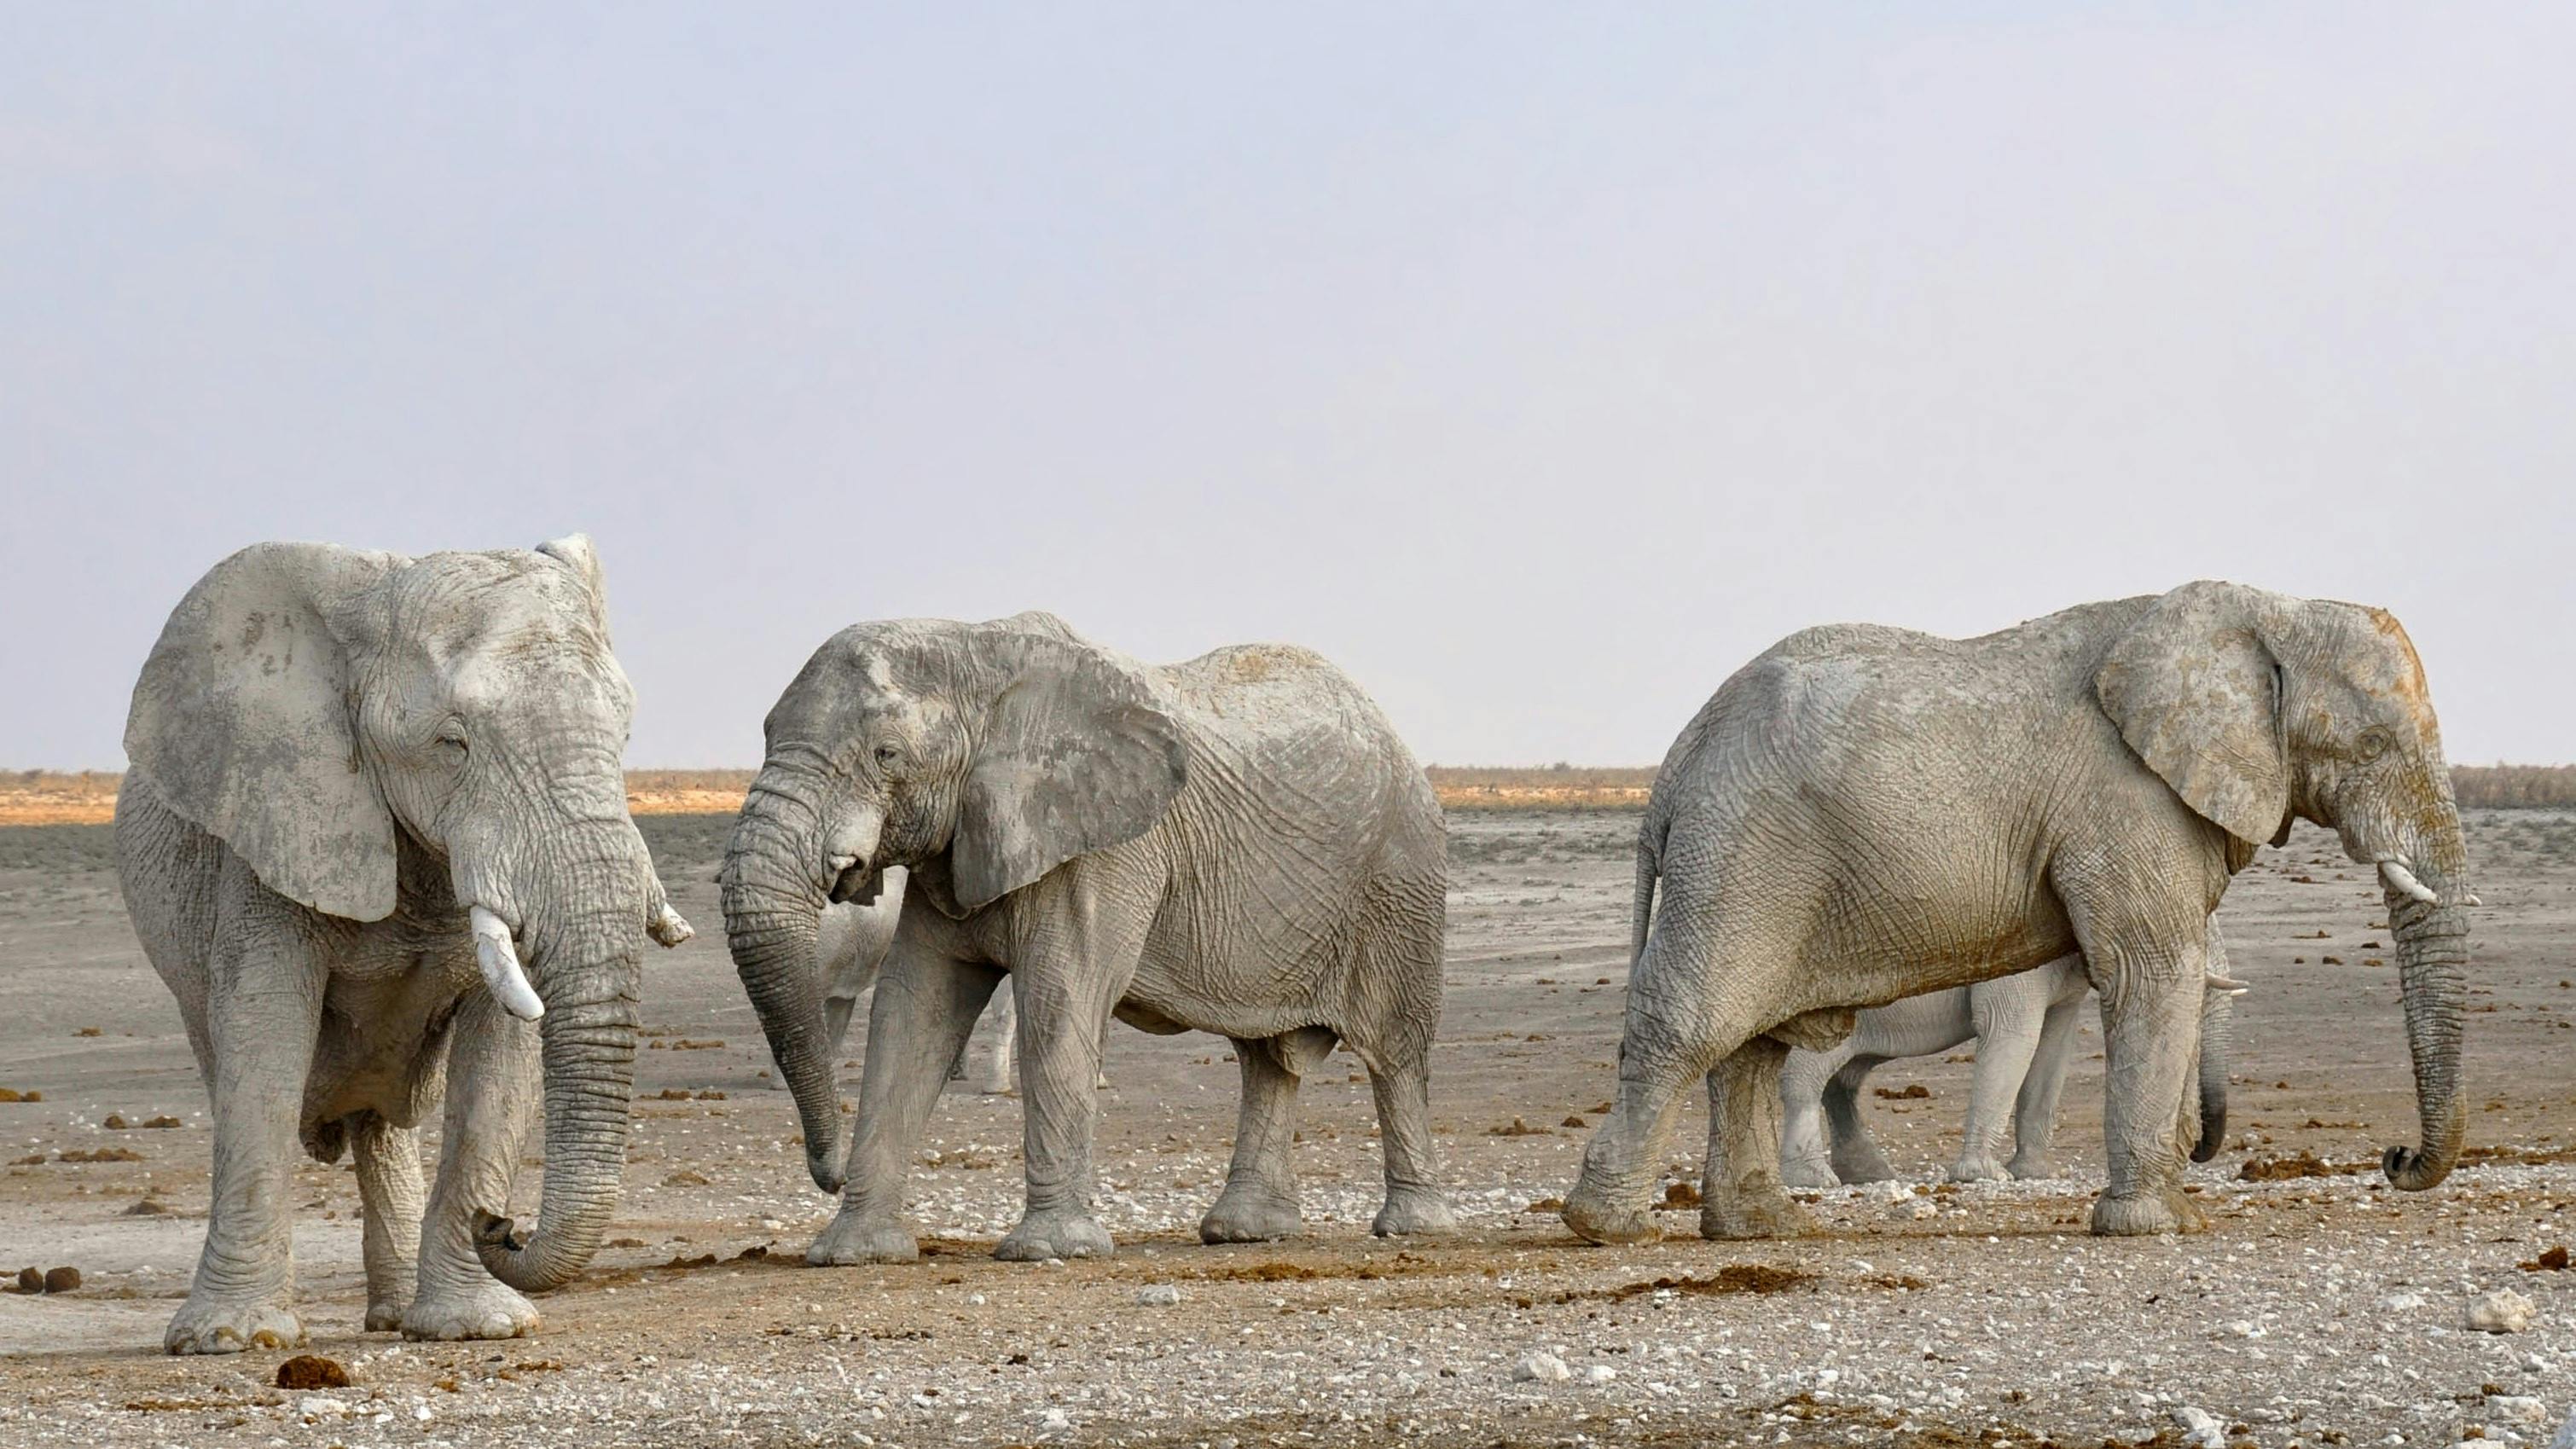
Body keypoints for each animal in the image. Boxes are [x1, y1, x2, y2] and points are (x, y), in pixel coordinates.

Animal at [115, 536, 690, 1353]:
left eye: (625, 736)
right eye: (453, 743)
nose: (505, 1224)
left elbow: (500, 1062)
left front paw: (477, 1326)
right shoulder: (273, 828)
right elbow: (264, 1040)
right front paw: (231, 1338)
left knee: (380, 1125)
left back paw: (393, 1316)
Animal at [720, 612, 1455, 1264]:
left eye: (886, 754)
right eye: (766, 733)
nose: (830, 1172)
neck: (976, 649)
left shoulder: (1106, 848)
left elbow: (1060, 996)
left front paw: (1051, 1249)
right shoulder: (957, 844)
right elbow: (913, 1010)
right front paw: (854, 1252)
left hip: (1401, 877)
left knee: (1394, 1048)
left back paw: (1411, 1226)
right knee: (1267, 1059)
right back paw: (1245, 1232)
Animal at [1777, 929, 2246, 1188]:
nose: (2195, 1149)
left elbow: (2053, 1048)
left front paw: (2036, 1175)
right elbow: (2013, 1035)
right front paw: (1987, 1176)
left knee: (1844, 1081)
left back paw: (1870, 1176)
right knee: (1808, 1075)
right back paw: (1813, 1180)